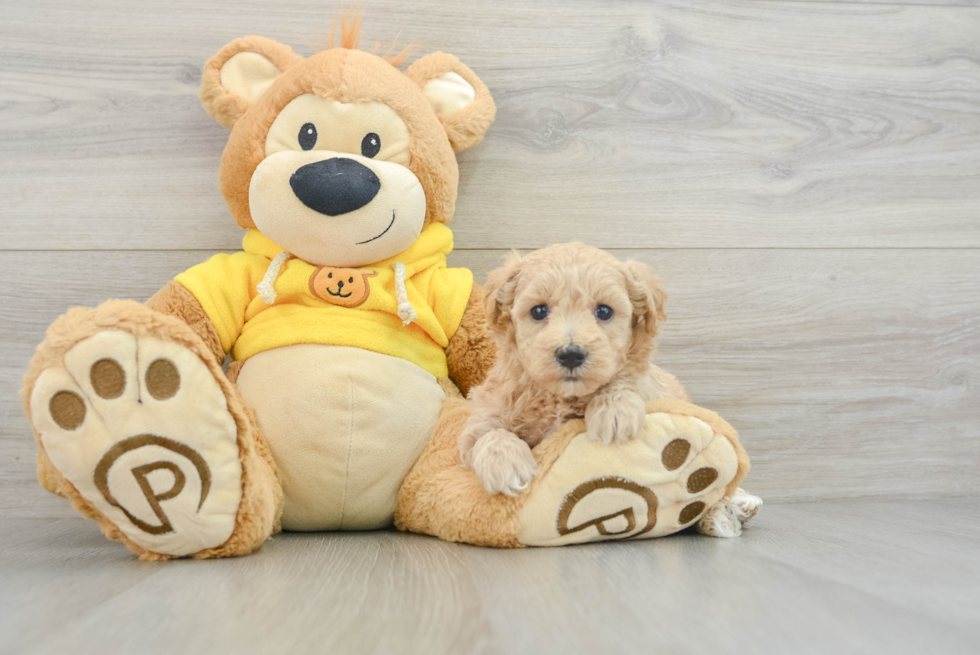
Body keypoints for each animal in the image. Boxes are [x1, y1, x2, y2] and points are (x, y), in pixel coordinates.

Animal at [460, 245, 688, 498]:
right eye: (539, 311)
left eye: (604, 311)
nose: (570, 354)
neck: (560, 398)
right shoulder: (488, 407)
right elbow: (484, 433)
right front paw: (506, 463)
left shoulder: (653, 387)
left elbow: (628, 377)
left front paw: (613, 409)